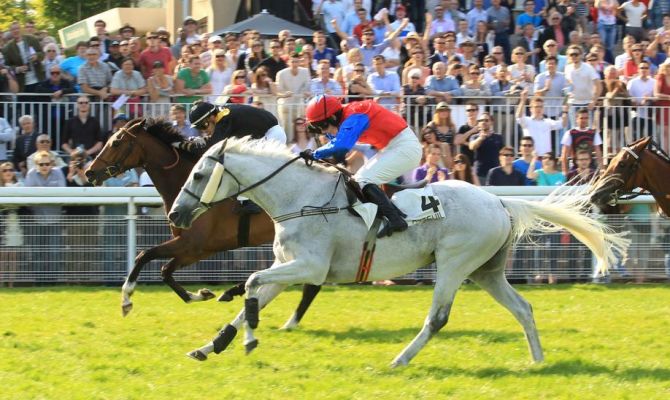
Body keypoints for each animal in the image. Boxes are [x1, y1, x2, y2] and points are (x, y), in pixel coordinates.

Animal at [83, 117, 320, 326]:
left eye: (116, 142)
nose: (89, 172)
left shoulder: (191, 243)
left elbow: (144, 255)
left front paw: (126, 298)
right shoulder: (199, 248)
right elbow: (166, 271)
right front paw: (201, 293)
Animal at [168, 138, 632, 366]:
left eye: (199, 174)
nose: (175, 213)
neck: (300, 197)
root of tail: (499, 201)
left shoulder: (309, 267)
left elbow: (249, 283)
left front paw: (248, 339)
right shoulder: (288, 266)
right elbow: (251, 297)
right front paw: (211, 346)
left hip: (455, 265)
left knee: (438, 318)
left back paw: (400, 359)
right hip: (486, 271)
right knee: (523, 308)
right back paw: (537, 361)